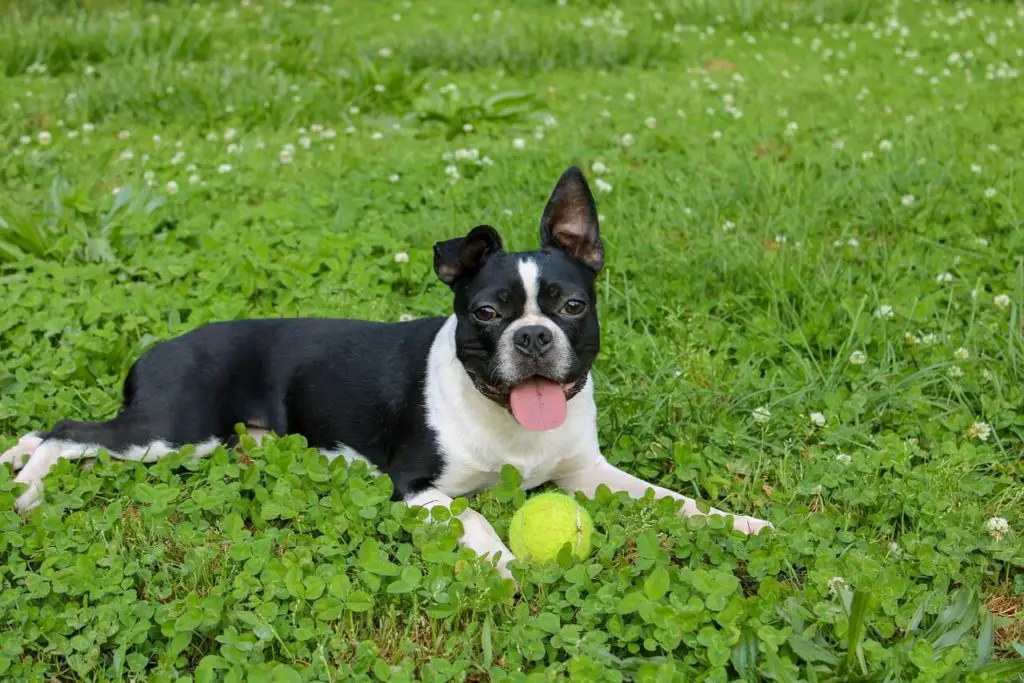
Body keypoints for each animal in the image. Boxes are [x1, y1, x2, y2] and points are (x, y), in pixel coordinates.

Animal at [0, 165, 770, 577]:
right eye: (486, 312)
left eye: (572, 306)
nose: (531, 337)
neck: (509, 423)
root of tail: (160, 345)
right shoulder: (418, 489)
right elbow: (479, 518)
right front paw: (504, 566)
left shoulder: (589, 473)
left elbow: (670, 498)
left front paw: (744, 522)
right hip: (172, 430)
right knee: (67, 429)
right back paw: (30, 488)